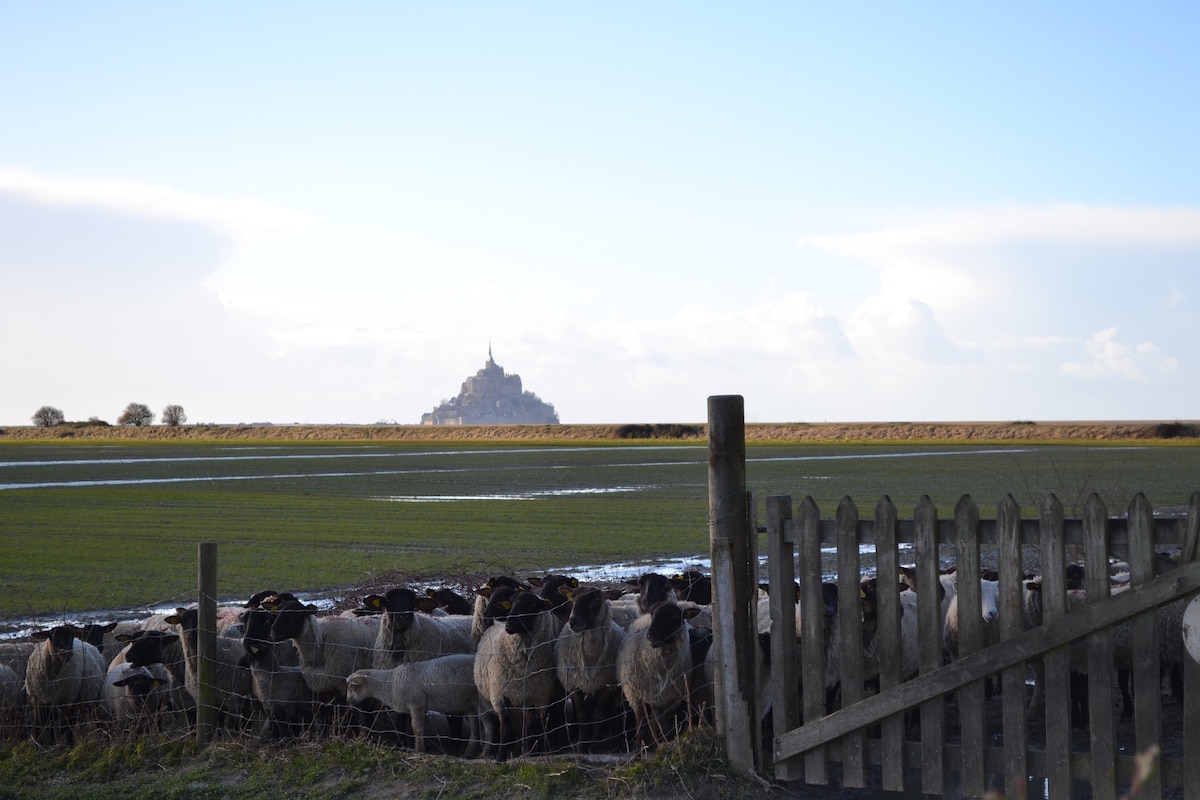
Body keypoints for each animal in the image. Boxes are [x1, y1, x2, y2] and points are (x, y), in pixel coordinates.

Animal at [345, 652, 480, 753]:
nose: (349, 701)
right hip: (470, 704)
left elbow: (416, 728)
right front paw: (408, 746)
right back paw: (469, 751)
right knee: (475, 726)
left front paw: (419, 750)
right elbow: (407, 729)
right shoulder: (408, 709)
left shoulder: (417, 703)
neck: (389, 683)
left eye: (352, 686)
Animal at [472, 592, 561, 762]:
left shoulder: (537, 699)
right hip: (485, 699)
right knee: (492, 724)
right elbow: (505, 729)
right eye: (511, 604)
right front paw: (500, 757)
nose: (509, 625)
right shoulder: (499, 697)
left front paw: (530, 753)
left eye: (533, 605)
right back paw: (490, 751)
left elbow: (530, 727)